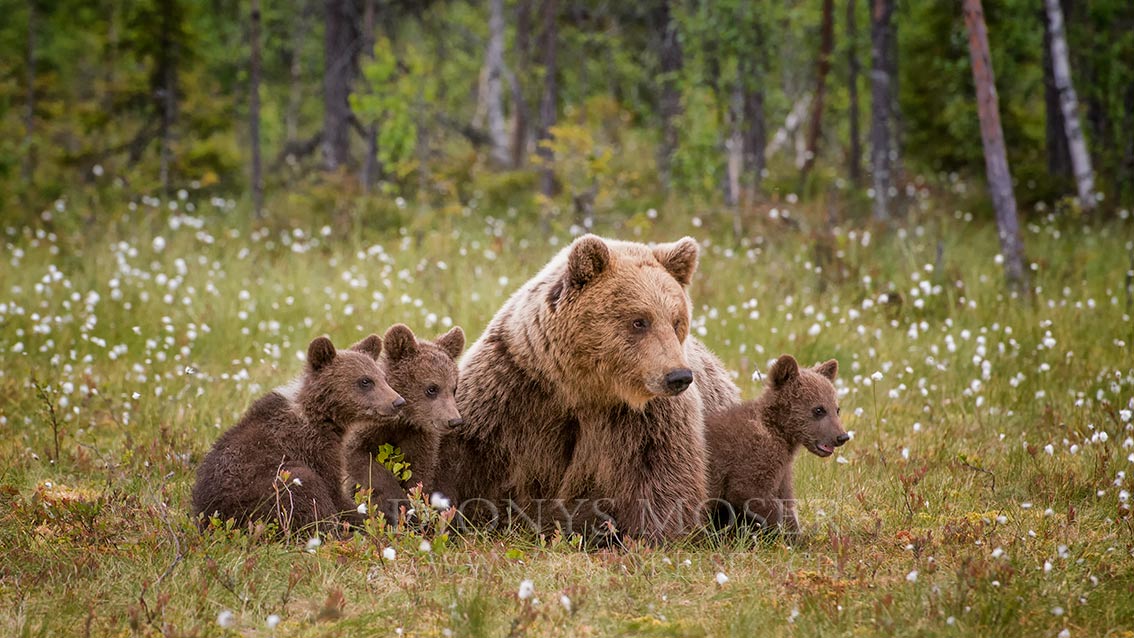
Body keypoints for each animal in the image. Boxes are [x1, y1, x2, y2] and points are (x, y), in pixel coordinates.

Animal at [192, 337, 405, 537]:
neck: (323, 419)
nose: (398, 402)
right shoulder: (313, 449)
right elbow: (334, 493)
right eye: (365, 381)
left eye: (383, 378)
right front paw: (372, 520)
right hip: (266, 491)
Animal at [337, 324, 462, 523]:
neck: (403, 419)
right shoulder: (367, 429)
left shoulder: (419, 437)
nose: (454, 420)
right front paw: (397, 500)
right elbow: (360, 458)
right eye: (432, 388)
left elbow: (419, 475)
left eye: (453, 388)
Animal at [428, 232, 739, 541]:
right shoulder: (512, 387)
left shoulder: (647, 418)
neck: (583, 387)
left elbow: (661, 472)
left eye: (676, 321)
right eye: (639, 321)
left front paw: (652, 535)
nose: (678, 376)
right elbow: (465, 452)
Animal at [703, 353, 848, 534]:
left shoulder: (783, 469)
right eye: (819, 410)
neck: (780, 433)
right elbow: (749, 493)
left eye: (837, 409)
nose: (842, 436)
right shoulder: (755, 455)